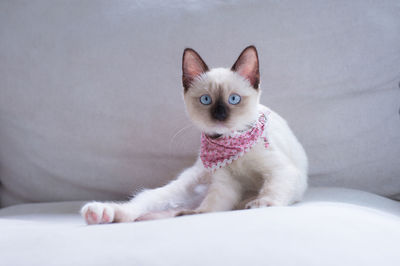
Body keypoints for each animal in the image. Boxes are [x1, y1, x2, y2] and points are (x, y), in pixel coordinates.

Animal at [80, 46, 306, 224]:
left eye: (233, 99)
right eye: (206, 100)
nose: (220, 115)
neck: (230, 142)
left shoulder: (279, 170)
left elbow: (270, 191)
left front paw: (260, 204)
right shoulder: (224, 184)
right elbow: (209, 208)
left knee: (179, 210)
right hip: (188, 184)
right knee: (149, 201)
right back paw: (102, 213)